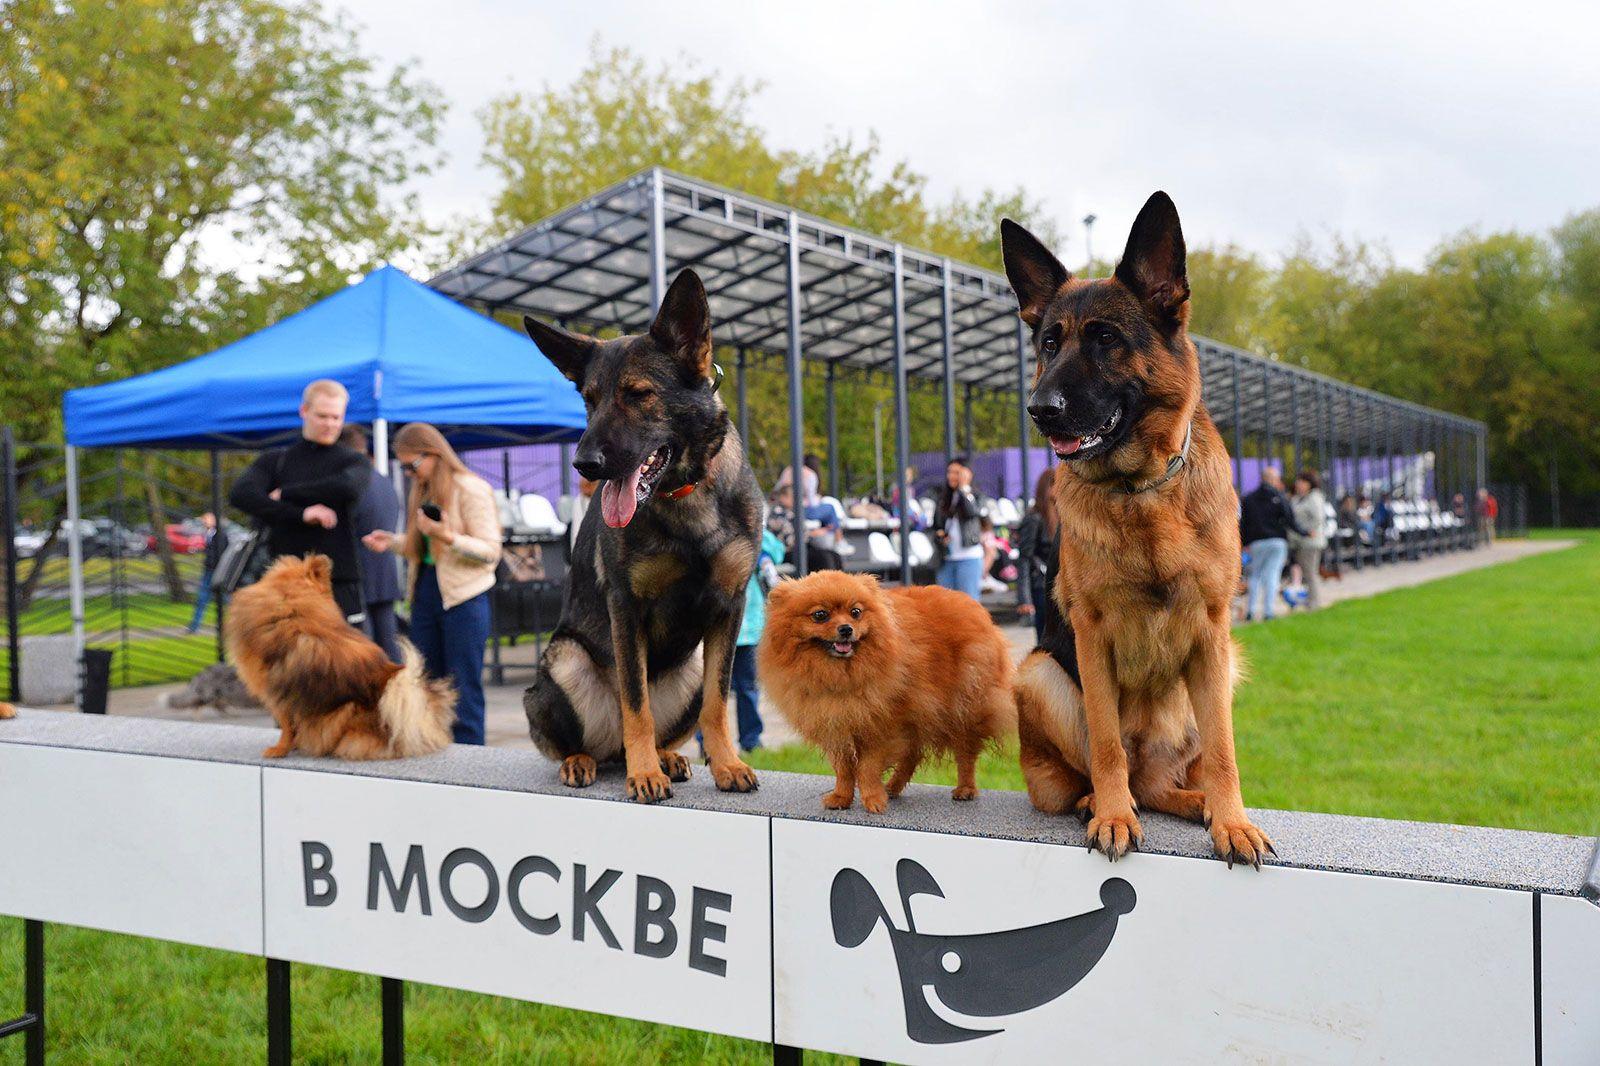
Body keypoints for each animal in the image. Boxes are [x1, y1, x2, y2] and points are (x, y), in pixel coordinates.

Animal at [758, 569, 1011, 809]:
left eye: (856, 612)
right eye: (820, 615)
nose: (846, 629)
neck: (841, 675)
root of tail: (972, 605)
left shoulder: (880, 726)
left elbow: (868, 768)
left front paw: (873, 800)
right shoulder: (835, 725)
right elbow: (843, 769)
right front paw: (841, 797)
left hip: (963, 710)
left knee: (965, 754)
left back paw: (965, 789)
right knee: (912, 756)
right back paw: (893, 787)